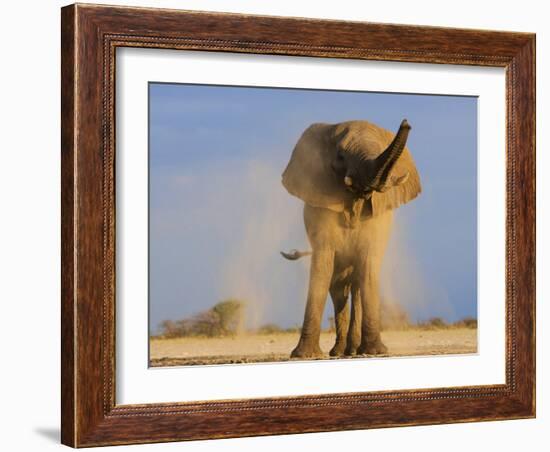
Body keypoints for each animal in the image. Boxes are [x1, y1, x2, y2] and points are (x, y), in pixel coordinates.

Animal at [280, 118, 422, 358]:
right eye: (340, 156)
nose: (406, 122)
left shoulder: (378, 218)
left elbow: (369, 265)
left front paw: (376, 352)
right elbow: (323, 266)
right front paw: (304, 355)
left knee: (355, 289)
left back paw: (352, 351)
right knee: (339, 293)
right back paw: (339, 352)